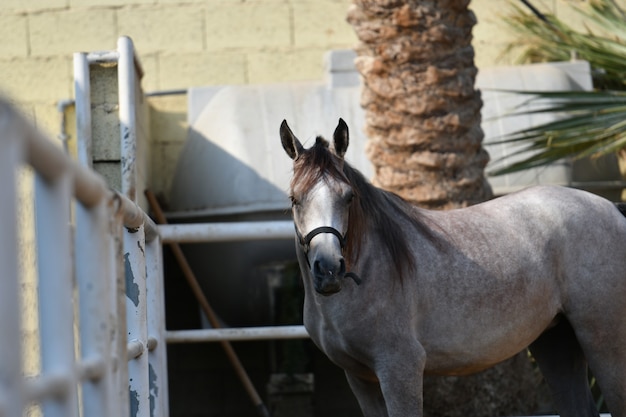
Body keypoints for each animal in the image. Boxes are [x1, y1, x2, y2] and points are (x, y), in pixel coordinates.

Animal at [280, 117, 624, 416]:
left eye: (349, 197)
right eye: (295, 199)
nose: (329, 270)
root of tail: (611, 208)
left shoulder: (399, 368)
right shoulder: (360, 378)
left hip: (603, 341)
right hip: (555, 341)